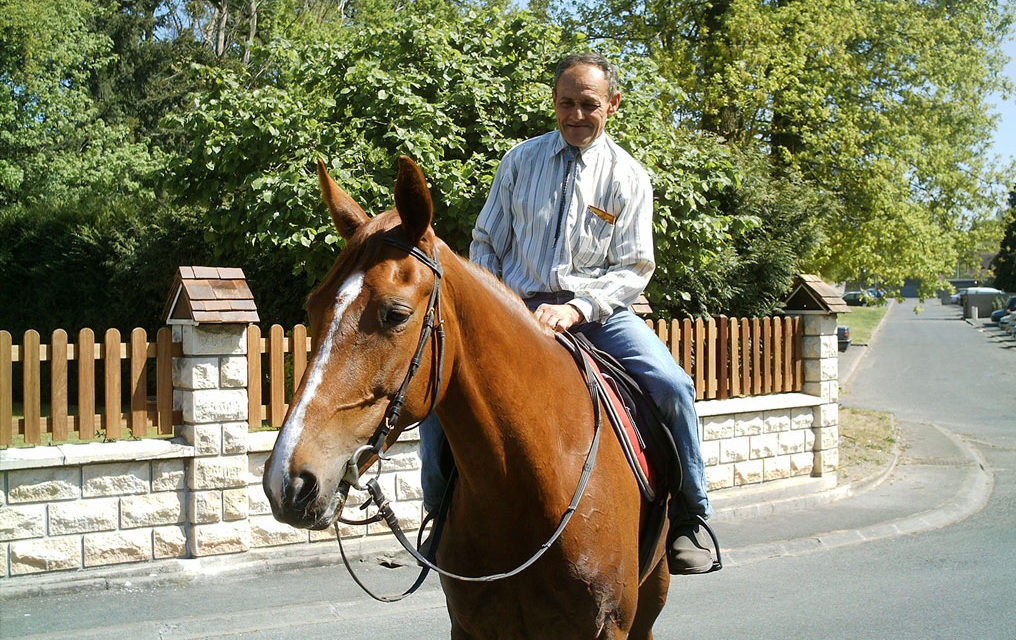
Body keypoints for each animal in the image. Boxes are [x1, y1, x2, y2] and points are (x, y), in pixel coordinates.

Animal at [266, 156, 670, 640]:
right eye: (314, 307)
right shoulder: (469, 625)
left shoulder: (607, 627)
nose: (288, 481)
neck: (526, 485)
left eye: (395, 314)